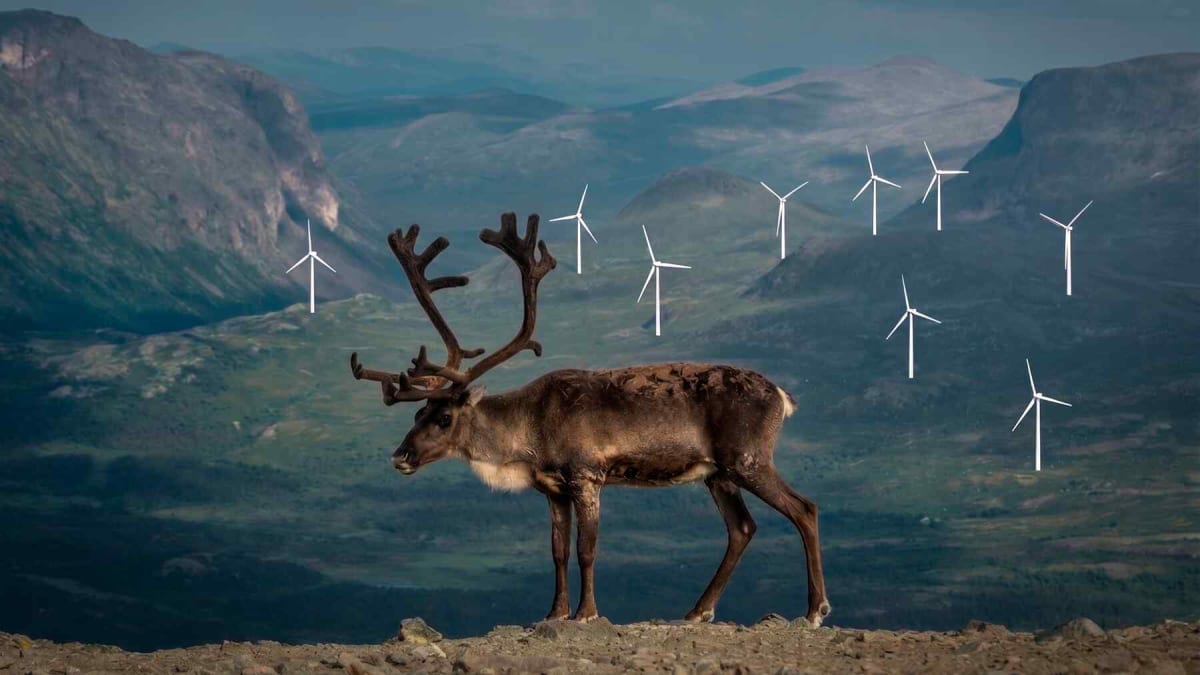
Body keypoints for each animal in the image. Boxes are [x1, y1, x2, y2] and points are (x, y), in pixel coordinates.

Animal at [350, 212, 831, 626]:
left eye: (445, 416)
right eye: (419, 411)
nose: (400, 456)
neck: (529, 430)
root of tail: (782, 396)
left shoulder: (587, 476)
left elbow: (587, 549)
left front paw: (586, 613)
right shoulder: (552, 490)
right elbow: (558, 551)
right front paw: (554, 612)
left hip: (748, 460)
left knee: (804, 508)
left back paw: (814, 611)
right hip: (717, 474)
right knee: (742, 528)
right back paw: (698, 611)